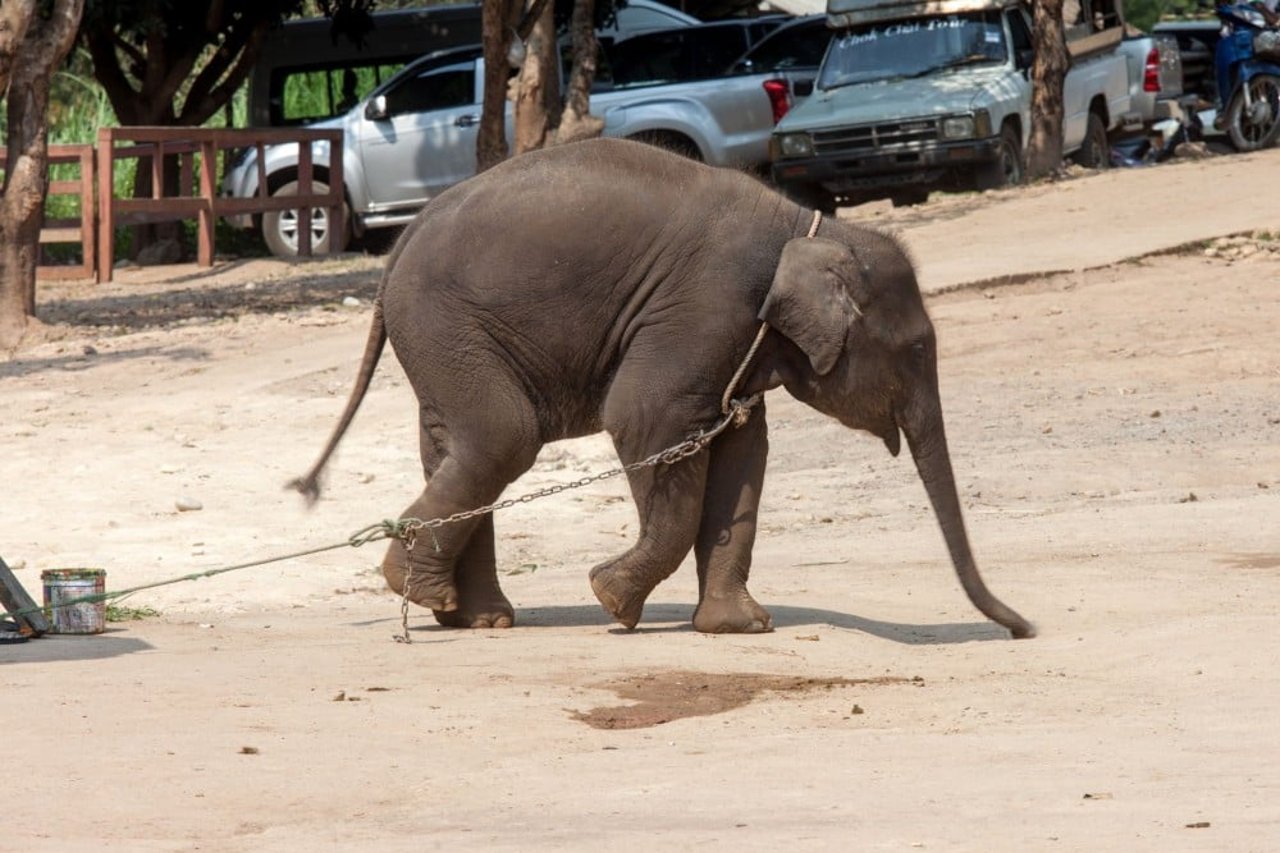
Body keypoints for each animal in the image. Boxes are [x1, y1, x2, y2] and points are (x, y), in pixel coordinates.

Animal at [294, 136, 1034, 635]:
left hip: (442, 337)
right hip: (447, 324)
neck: (810, 227)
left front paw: (739, 627)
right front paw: (612, 600)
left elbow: (744, 451)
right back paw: (421, 590)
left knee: (454, 445)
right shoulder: (706, 308)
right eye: (918, 348)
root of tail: (400, 242)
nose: (1024, 627)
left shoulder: (737, 343)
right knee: (504, 437)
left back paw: (468, 615)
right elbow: (645, 420)